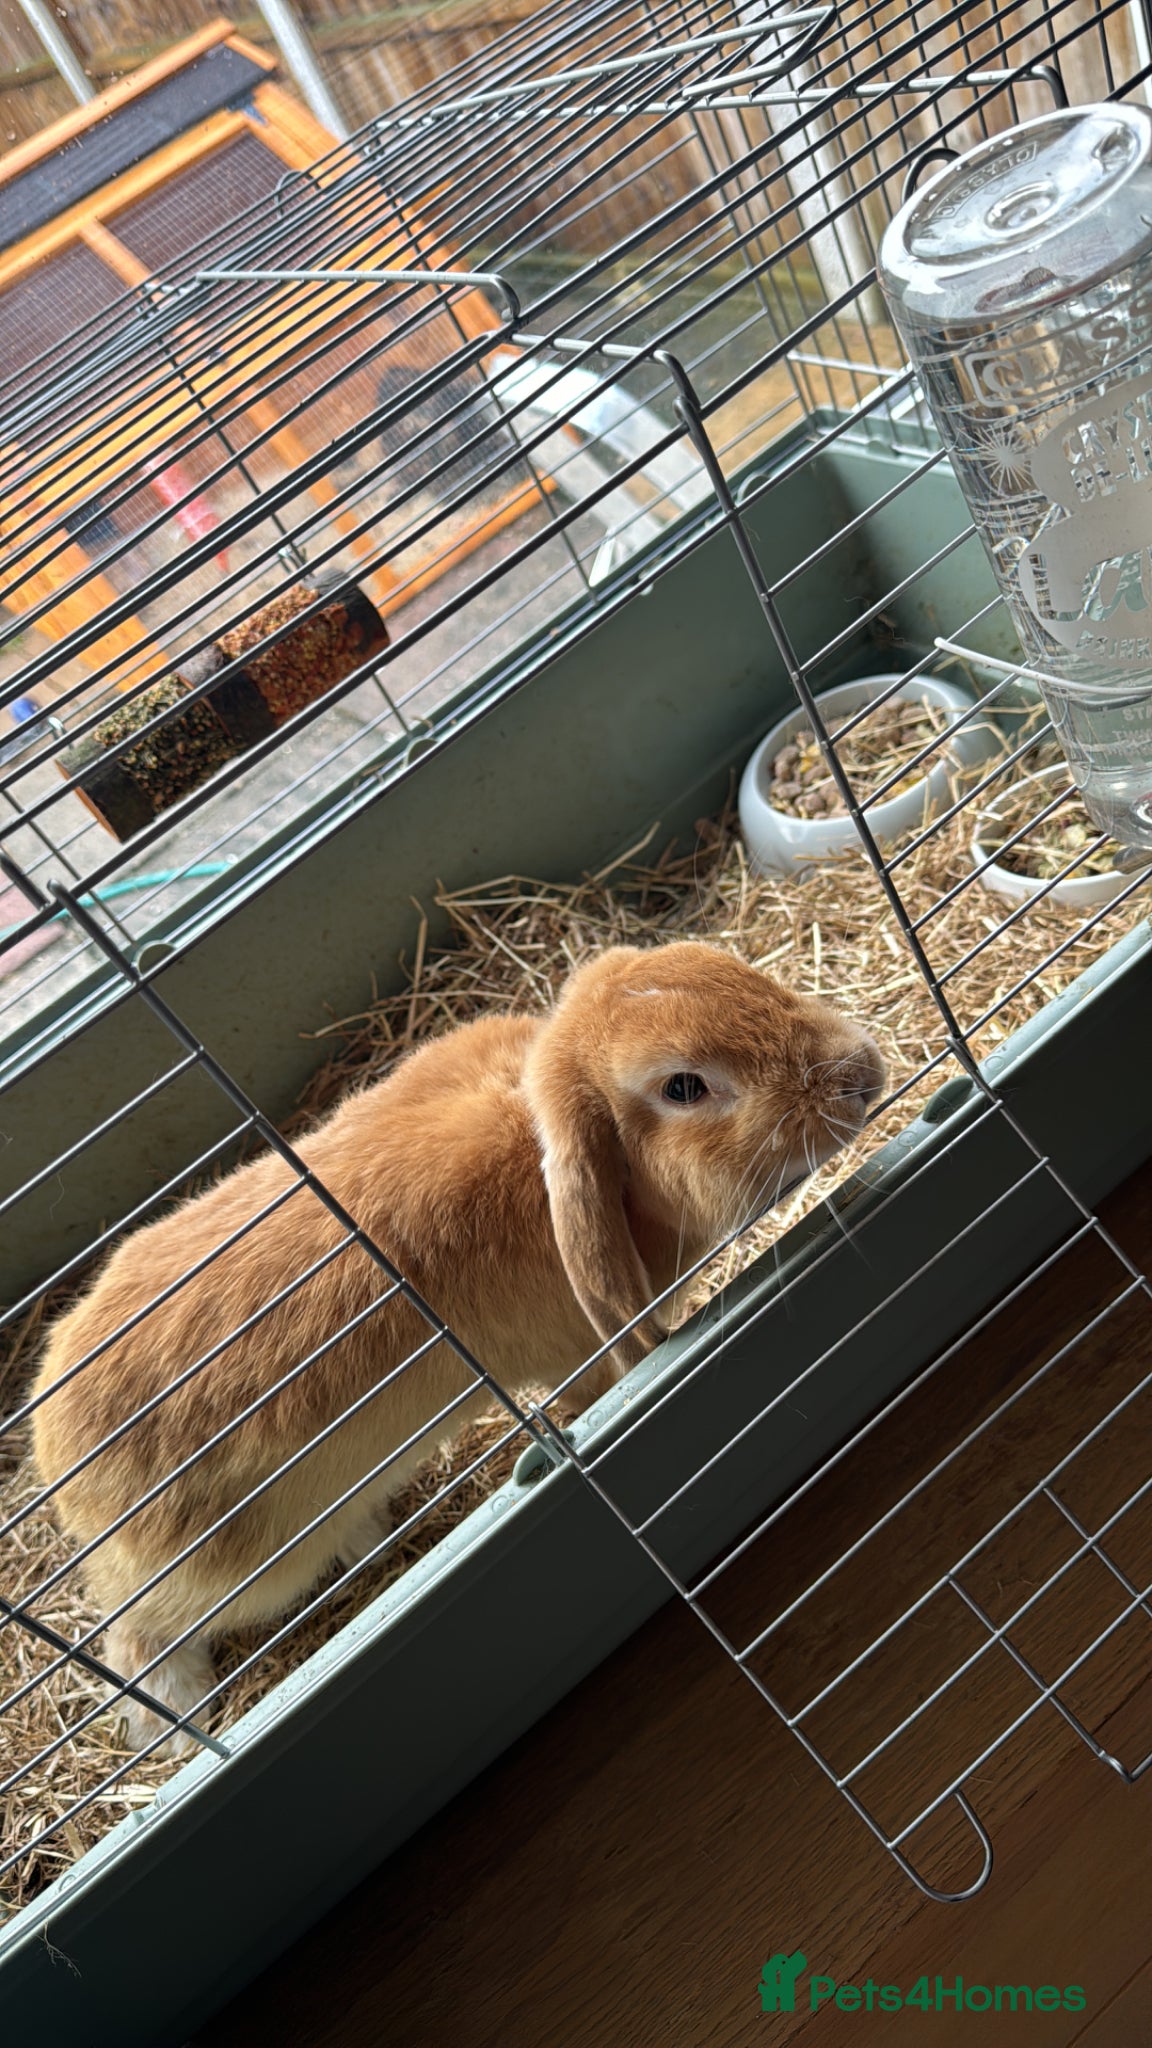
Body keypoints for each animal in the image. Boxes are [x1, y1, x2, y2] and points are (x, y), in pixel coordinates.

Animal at [30, 940, 884, 1752]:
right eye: (683, 1088)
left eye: (729, 969)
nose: (864, 1070)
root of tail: (60, 1470)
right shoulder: (572, 1358)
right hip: (242, 1571)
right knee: (138, 1633)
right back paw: (174, 1723)